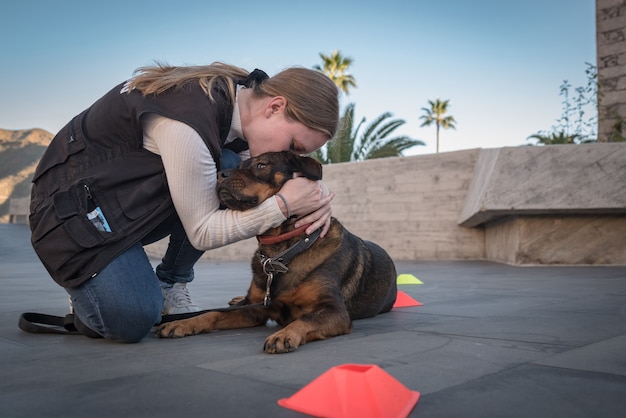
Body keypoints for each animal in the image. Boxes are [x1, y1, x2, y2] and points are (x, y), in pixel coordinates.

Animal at [155, 150, 394, 352]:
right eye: (240, 166)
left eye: (261, 165)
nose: (220, 174)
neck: (281, 250)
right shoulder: (254, 310)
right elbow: (213, 313)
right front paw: (183, 323)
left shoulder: (335, 310)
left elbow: (306, 319)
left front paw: (284, 334)